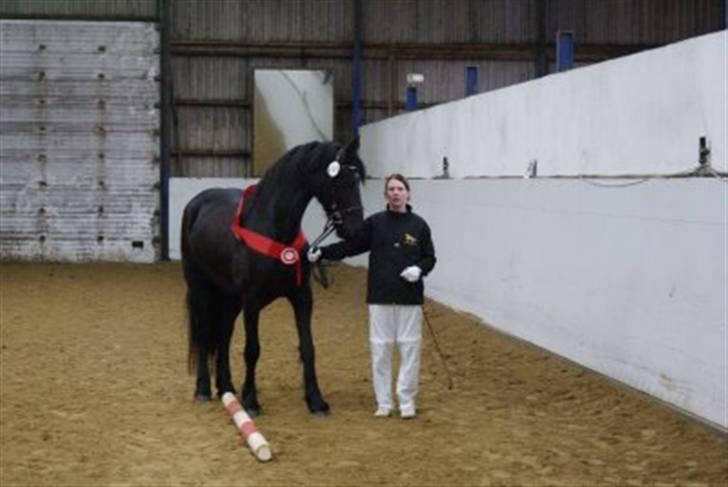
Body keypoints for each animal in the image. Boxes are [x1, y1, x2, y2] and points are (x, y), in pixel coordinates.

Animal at [181, 139, 364, 418]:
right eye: (341, 179)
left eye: (358, 179)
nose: (356, 229)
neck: (274, 229)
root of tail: (196, 204)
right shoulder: (252, 301)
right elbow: (252, 350)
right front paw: (251, 400)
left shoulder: (302, 297)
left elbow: (308, 348)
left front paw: (316, 401)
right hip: (200, 287)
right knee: (203, 333)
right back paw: (203, 388)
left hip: (231, 298)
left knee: (223, 334)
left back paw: (226, 387)